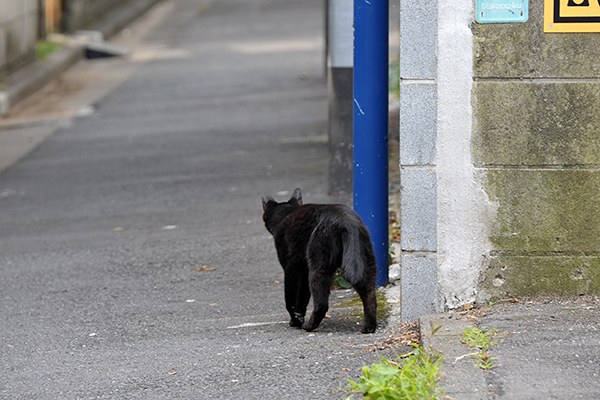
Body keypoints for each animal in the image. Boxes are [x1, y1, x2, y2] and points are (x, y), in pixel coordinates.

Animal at [262, 189, 378, 332]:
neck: (286, 214)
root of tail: (346, 221)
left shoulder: (291, 268)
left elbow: (291, 299)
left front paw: (295, 321)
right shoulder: (303, 270)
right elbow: (303, 297)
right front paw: (298, 318)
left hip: (318, 267)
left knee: (322, 303)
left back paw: (309, 326)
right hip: (366, 263)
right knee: (370, 294)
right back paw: (369, 327)